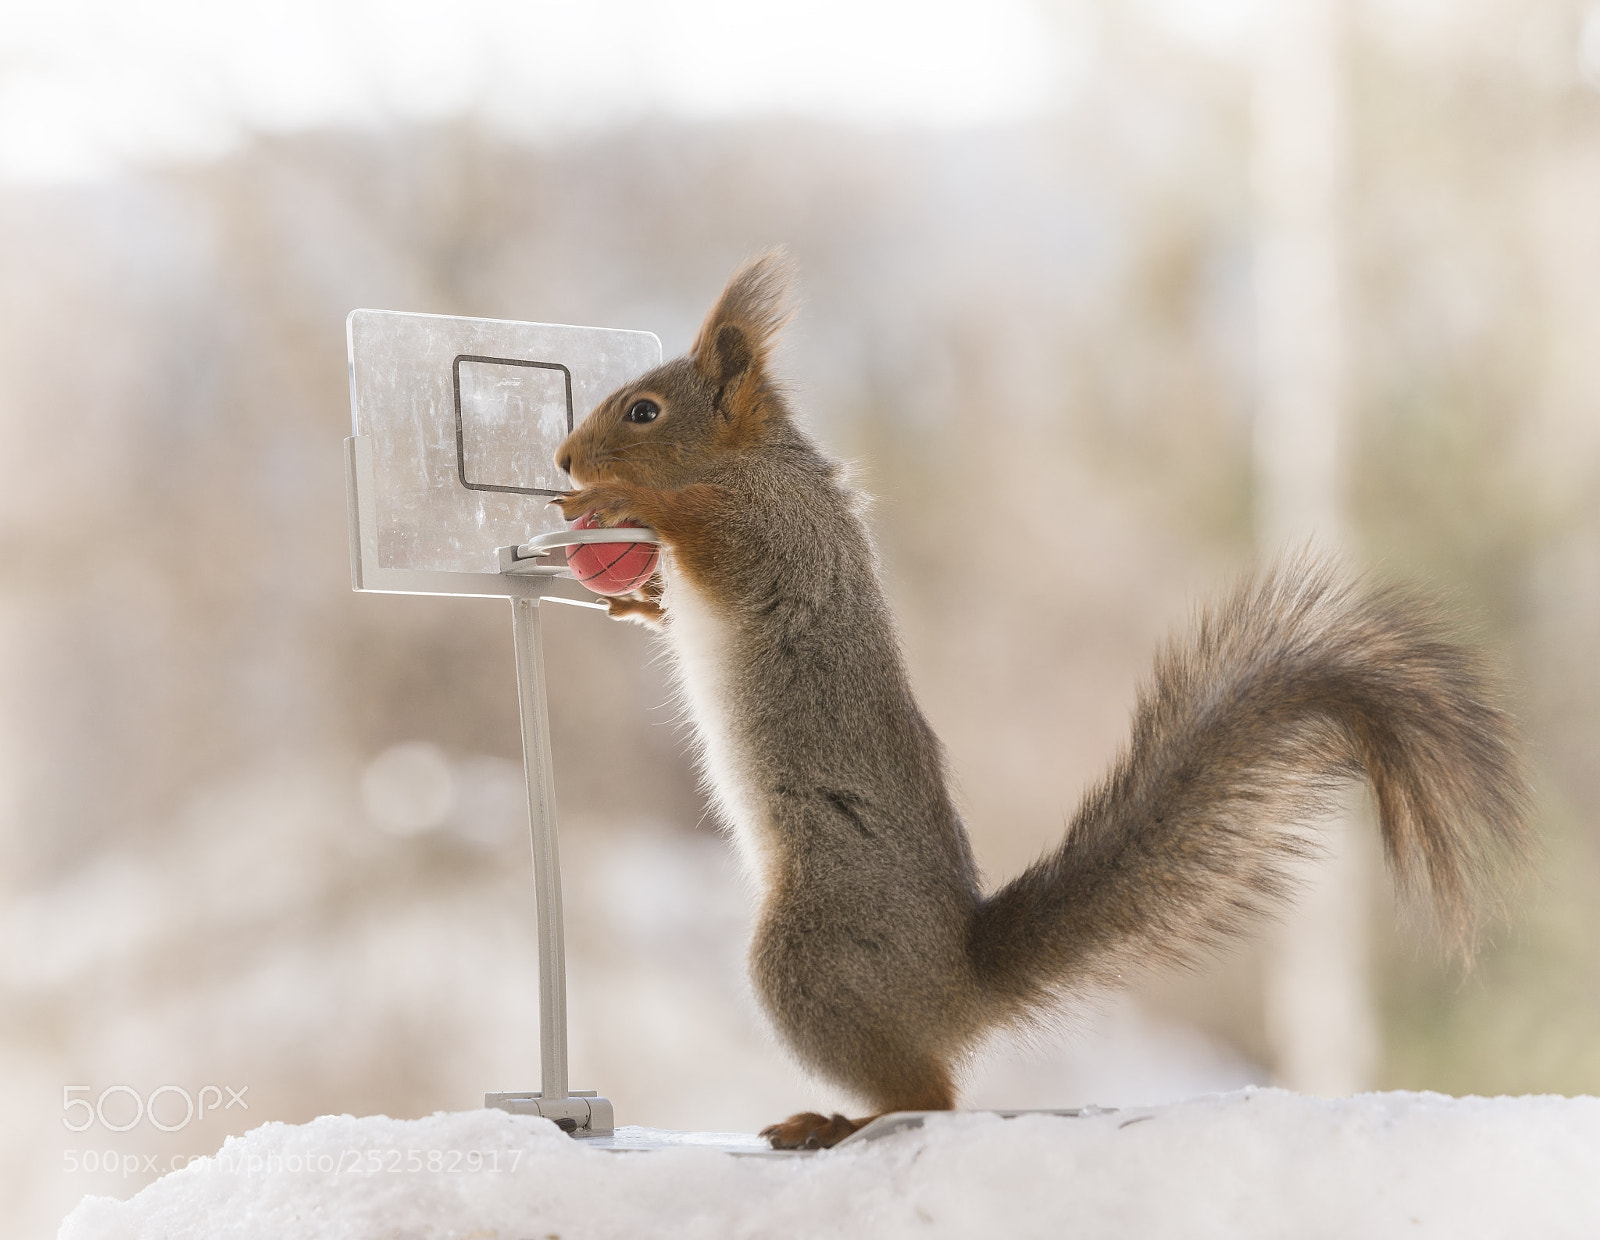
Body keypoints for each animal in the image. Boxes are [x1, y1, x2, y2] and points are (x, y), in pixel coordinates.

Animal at [553, 250, 1533, 1150]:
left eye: (644, 411)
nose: (563, 459)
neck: (756, 459)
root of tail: (958, 980)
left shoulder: (773, 532)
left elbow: (704, 530)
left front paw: (622, 499)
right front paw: (631, 597)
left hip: (813, 954)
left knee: (930, 1096)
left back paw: (834, 1120)